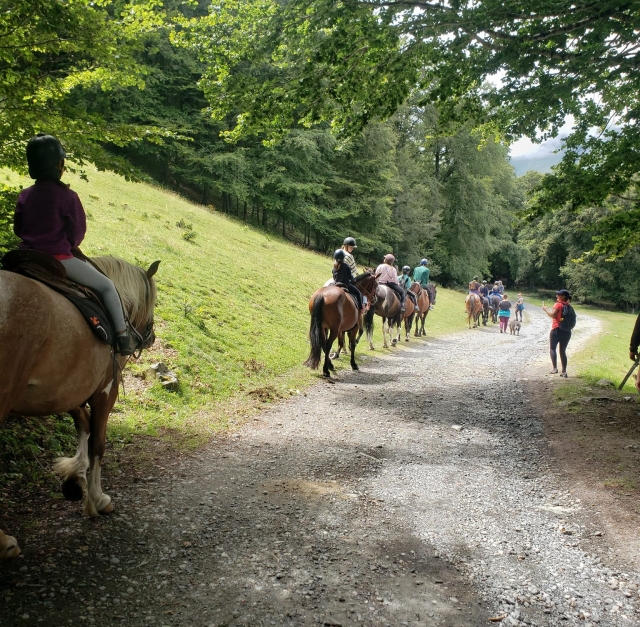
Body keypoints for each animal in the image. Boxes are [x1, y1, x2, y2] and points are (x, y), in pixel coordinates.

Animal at [0, 256, 159, 560]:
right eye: (154, 301)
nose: (151, 337)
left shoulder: (66, 390)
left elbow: (82, 424)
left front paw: (75, 475)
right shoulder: (105, 391)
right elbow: (98, 443)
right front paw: (97, 499)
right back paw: (4, 541)